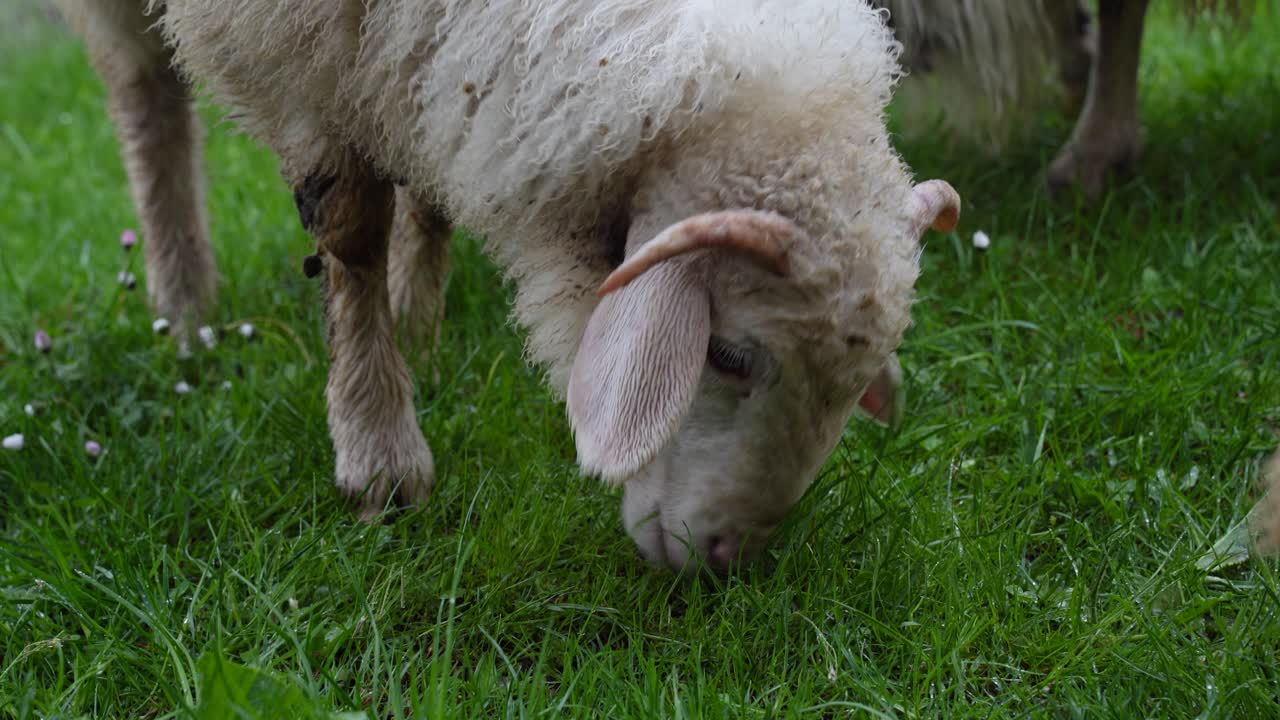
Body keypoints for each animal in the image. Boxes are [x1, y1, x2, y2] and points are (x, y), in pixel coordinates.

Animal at [145, 0, 961, 575]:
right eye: (727, 354)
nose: (729, 560)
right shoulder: (297, 47)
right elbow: (350, 228)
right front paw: (378, 451)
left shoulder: (411, 59)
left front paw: (410, 339)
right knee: (149, 102)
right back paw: (184, 309)